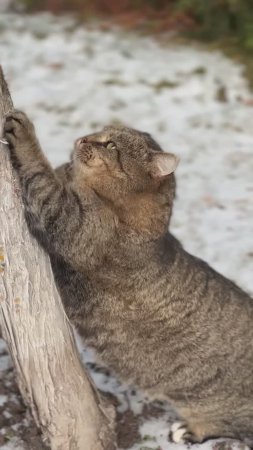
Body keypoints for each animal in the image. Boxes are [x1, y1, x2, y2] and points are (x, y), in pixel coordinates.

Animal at [3, 110, 253, 446]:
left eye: (111, 145)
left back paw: (190, 430)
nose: (83, 138)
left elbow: (42, 175)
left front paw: (27, 135)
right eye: (101, 131)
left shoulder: (69, 223)